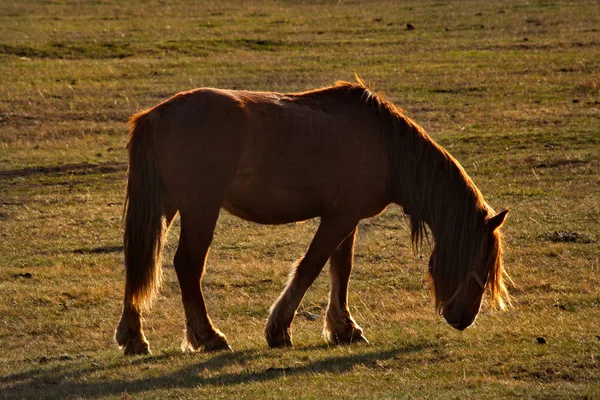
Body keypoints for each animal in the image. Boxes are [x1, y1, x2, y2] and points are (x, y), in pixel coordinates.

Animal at [115, 79, 508, 356]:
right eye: (481, 260)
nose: (464, 318)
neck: (386, 145)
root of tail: (158, 114)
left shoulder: (347, 218)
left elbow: (341, 269)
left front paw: (343, 328)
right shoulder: (338, 219)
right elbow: (312, 265)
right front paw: (279, 329)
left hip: (167, 207)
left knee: (139, 262)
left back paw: (134, 337)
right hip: (200, 209)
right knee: (187, 266)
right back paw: (208, 336)